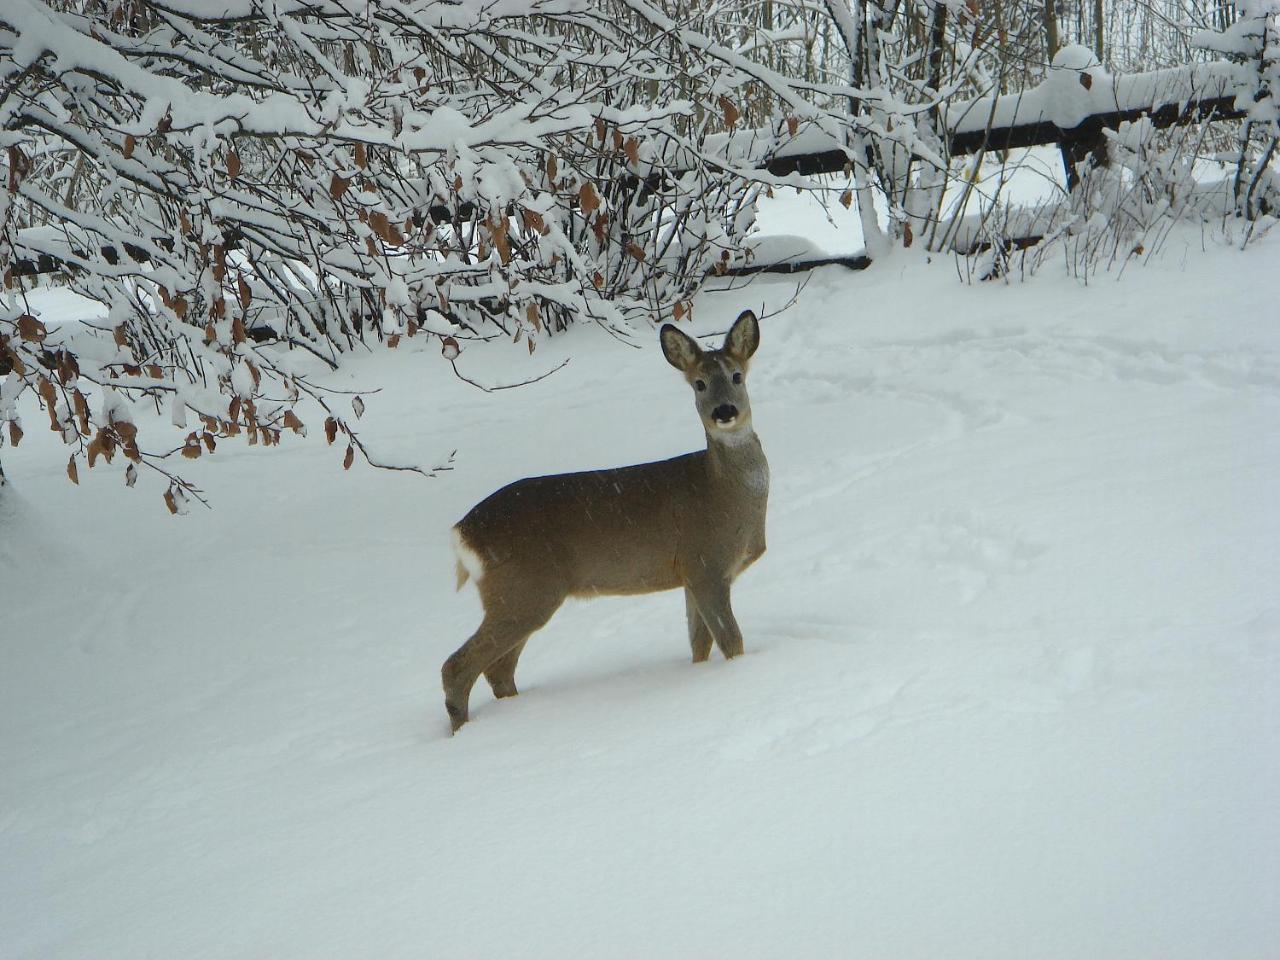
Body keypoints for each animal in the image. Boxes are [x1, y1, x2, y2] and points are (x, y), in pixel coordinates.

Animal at [445, 312, 762, 732]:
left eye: (737, 375)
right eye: (699, 383)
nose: (724, 411)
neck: (724, 492)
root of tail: (462, 532)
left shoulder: (690, 575)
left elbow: (699, 645)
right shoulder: (707, 562)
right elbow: (732, 642)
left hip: (519, 595)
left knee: (499, 668)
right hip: (525, 588)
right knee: (459, 666)